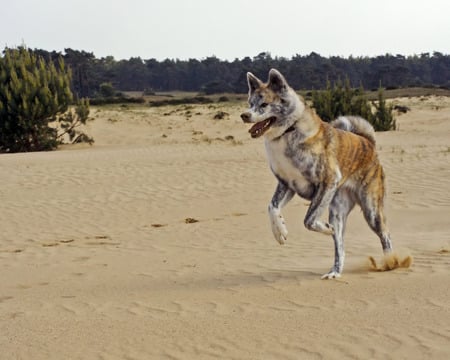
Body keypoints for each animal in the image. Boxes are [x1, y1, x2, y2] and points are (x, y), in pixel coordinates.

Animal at [241, 69, 392, 280]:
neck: (288, 131)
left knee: (385, 236)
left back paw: (390, 261)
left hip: (371, 210)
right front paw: (280, 232)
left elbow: (309, 219)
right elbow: (272, 207)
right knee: (340, 247)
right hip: (337, 212)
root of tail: (368, 143)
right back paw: (334, 272)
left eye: (264, 104)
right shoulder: (287, 184)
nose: (244, 115)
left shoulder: (327, 181)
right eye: (250, 103)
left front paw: (322, 229)